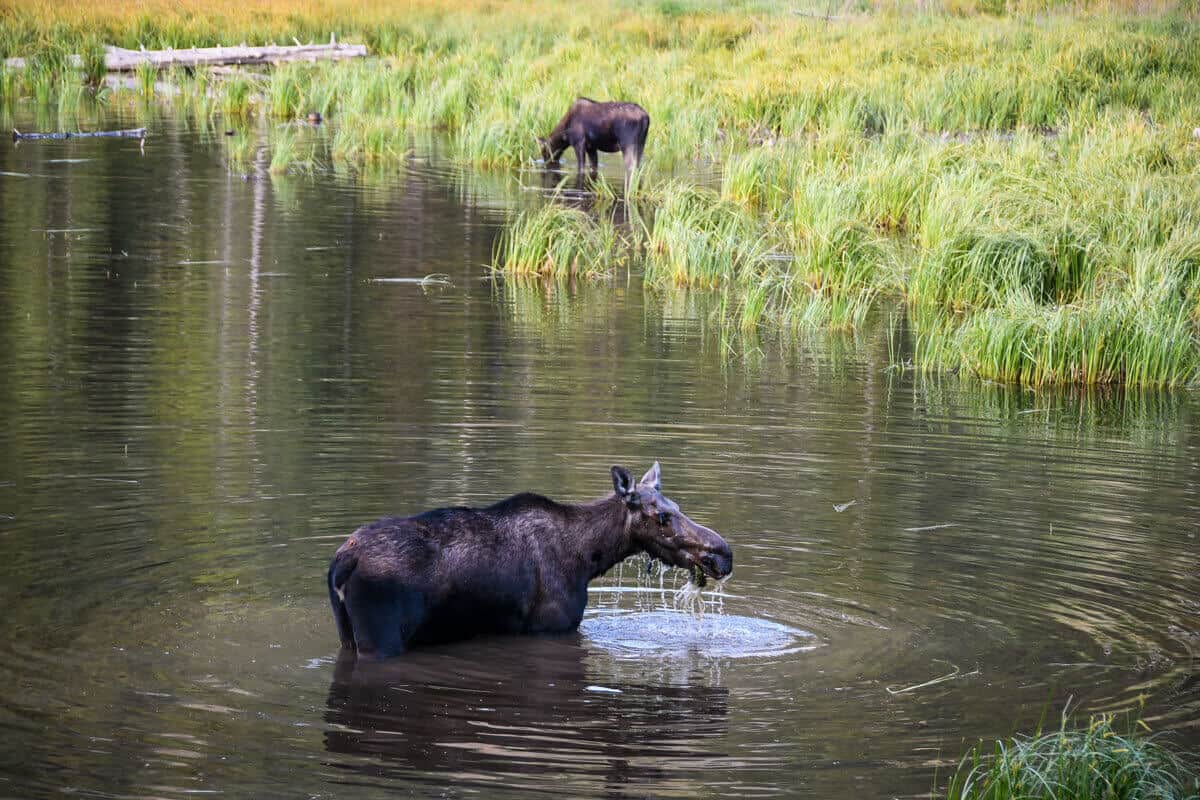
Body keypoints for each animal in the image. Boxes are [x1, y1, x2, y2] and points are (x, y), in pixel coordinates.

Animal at [328, 460, 729, 662]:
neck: (589, 558)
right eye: (661, 516)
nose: (722, 554)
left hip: (347, 635)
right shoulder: (552, 627)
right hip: (380, 640)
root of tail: (342, 560)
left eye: (677, 506)